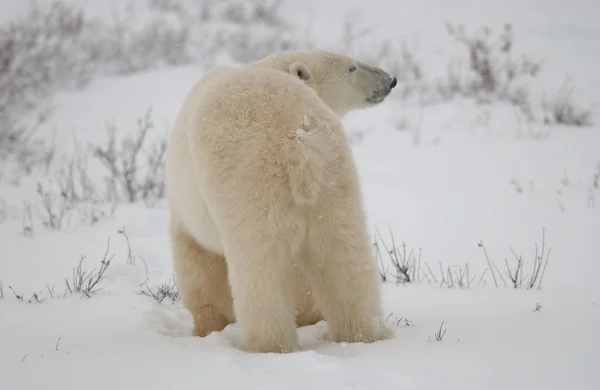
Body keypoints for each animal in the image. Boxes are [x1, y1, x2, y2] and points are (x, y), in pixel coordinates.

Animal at [165, 49, 398, 354]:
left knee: (260, 269)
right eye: (352, 67)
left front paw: (207, 326)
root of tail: (298, 141)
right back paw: (362, 333)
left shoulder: (187, 212)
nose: (391, 79)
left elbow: (198, 261)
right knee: (346, 254)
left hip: (249, 187)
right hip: (334, 182)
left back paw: (268, 344)